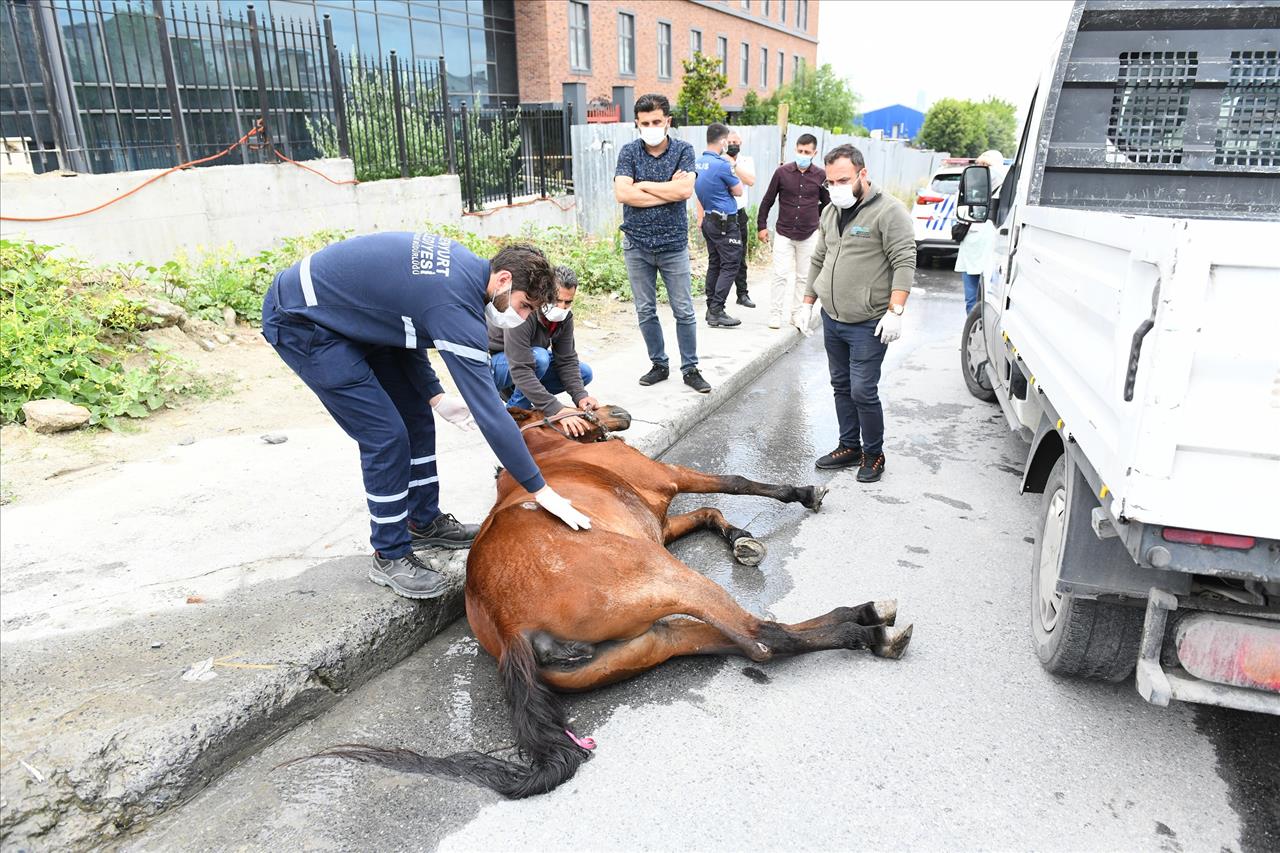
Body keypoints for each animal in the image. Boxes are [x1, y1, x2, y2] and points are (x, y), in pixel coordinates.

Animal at [302, 404, 911, 799]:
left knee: (734, 639)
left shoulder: (662, 525)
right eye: (581, 405)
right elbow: (734, 482)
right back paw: (866, 626)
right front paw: (800, 494)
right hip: (670, 577)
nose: (619, 412)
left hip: (654, 635)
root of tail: (512, 631)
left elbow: (710, 513)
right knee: (762, 640)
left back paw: (864, 623)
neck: (551, 450)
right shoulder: (669, 479)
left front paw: (740, 538)